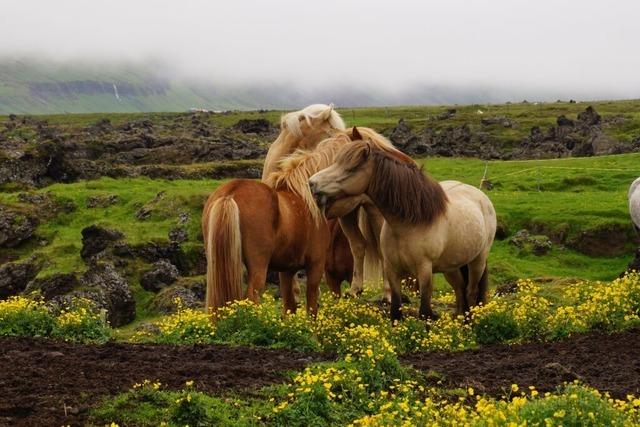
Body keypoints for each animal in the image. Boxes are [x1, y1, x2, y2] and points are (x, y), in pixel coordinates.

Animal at [202, 136, 350, 314]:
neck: (305, 198)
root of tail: (230, 194)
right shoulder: (316, 264)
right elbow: (312, 307)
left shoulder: (287, 270)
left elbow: (289, 306)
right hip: (258, 267)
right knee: (251, 297)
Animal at [308, 139, 498, 322]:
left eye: (351, 169)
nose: (312, 183)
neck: (408, 224)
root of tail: (481, 196)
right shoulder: (393, 270)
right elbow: (395, 312)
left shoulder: (424, 270)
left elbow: (425, 312)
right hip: (451, 267)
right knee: (460, 290)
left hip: (477, 262)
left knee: (471, 292)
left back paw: (468, 324)